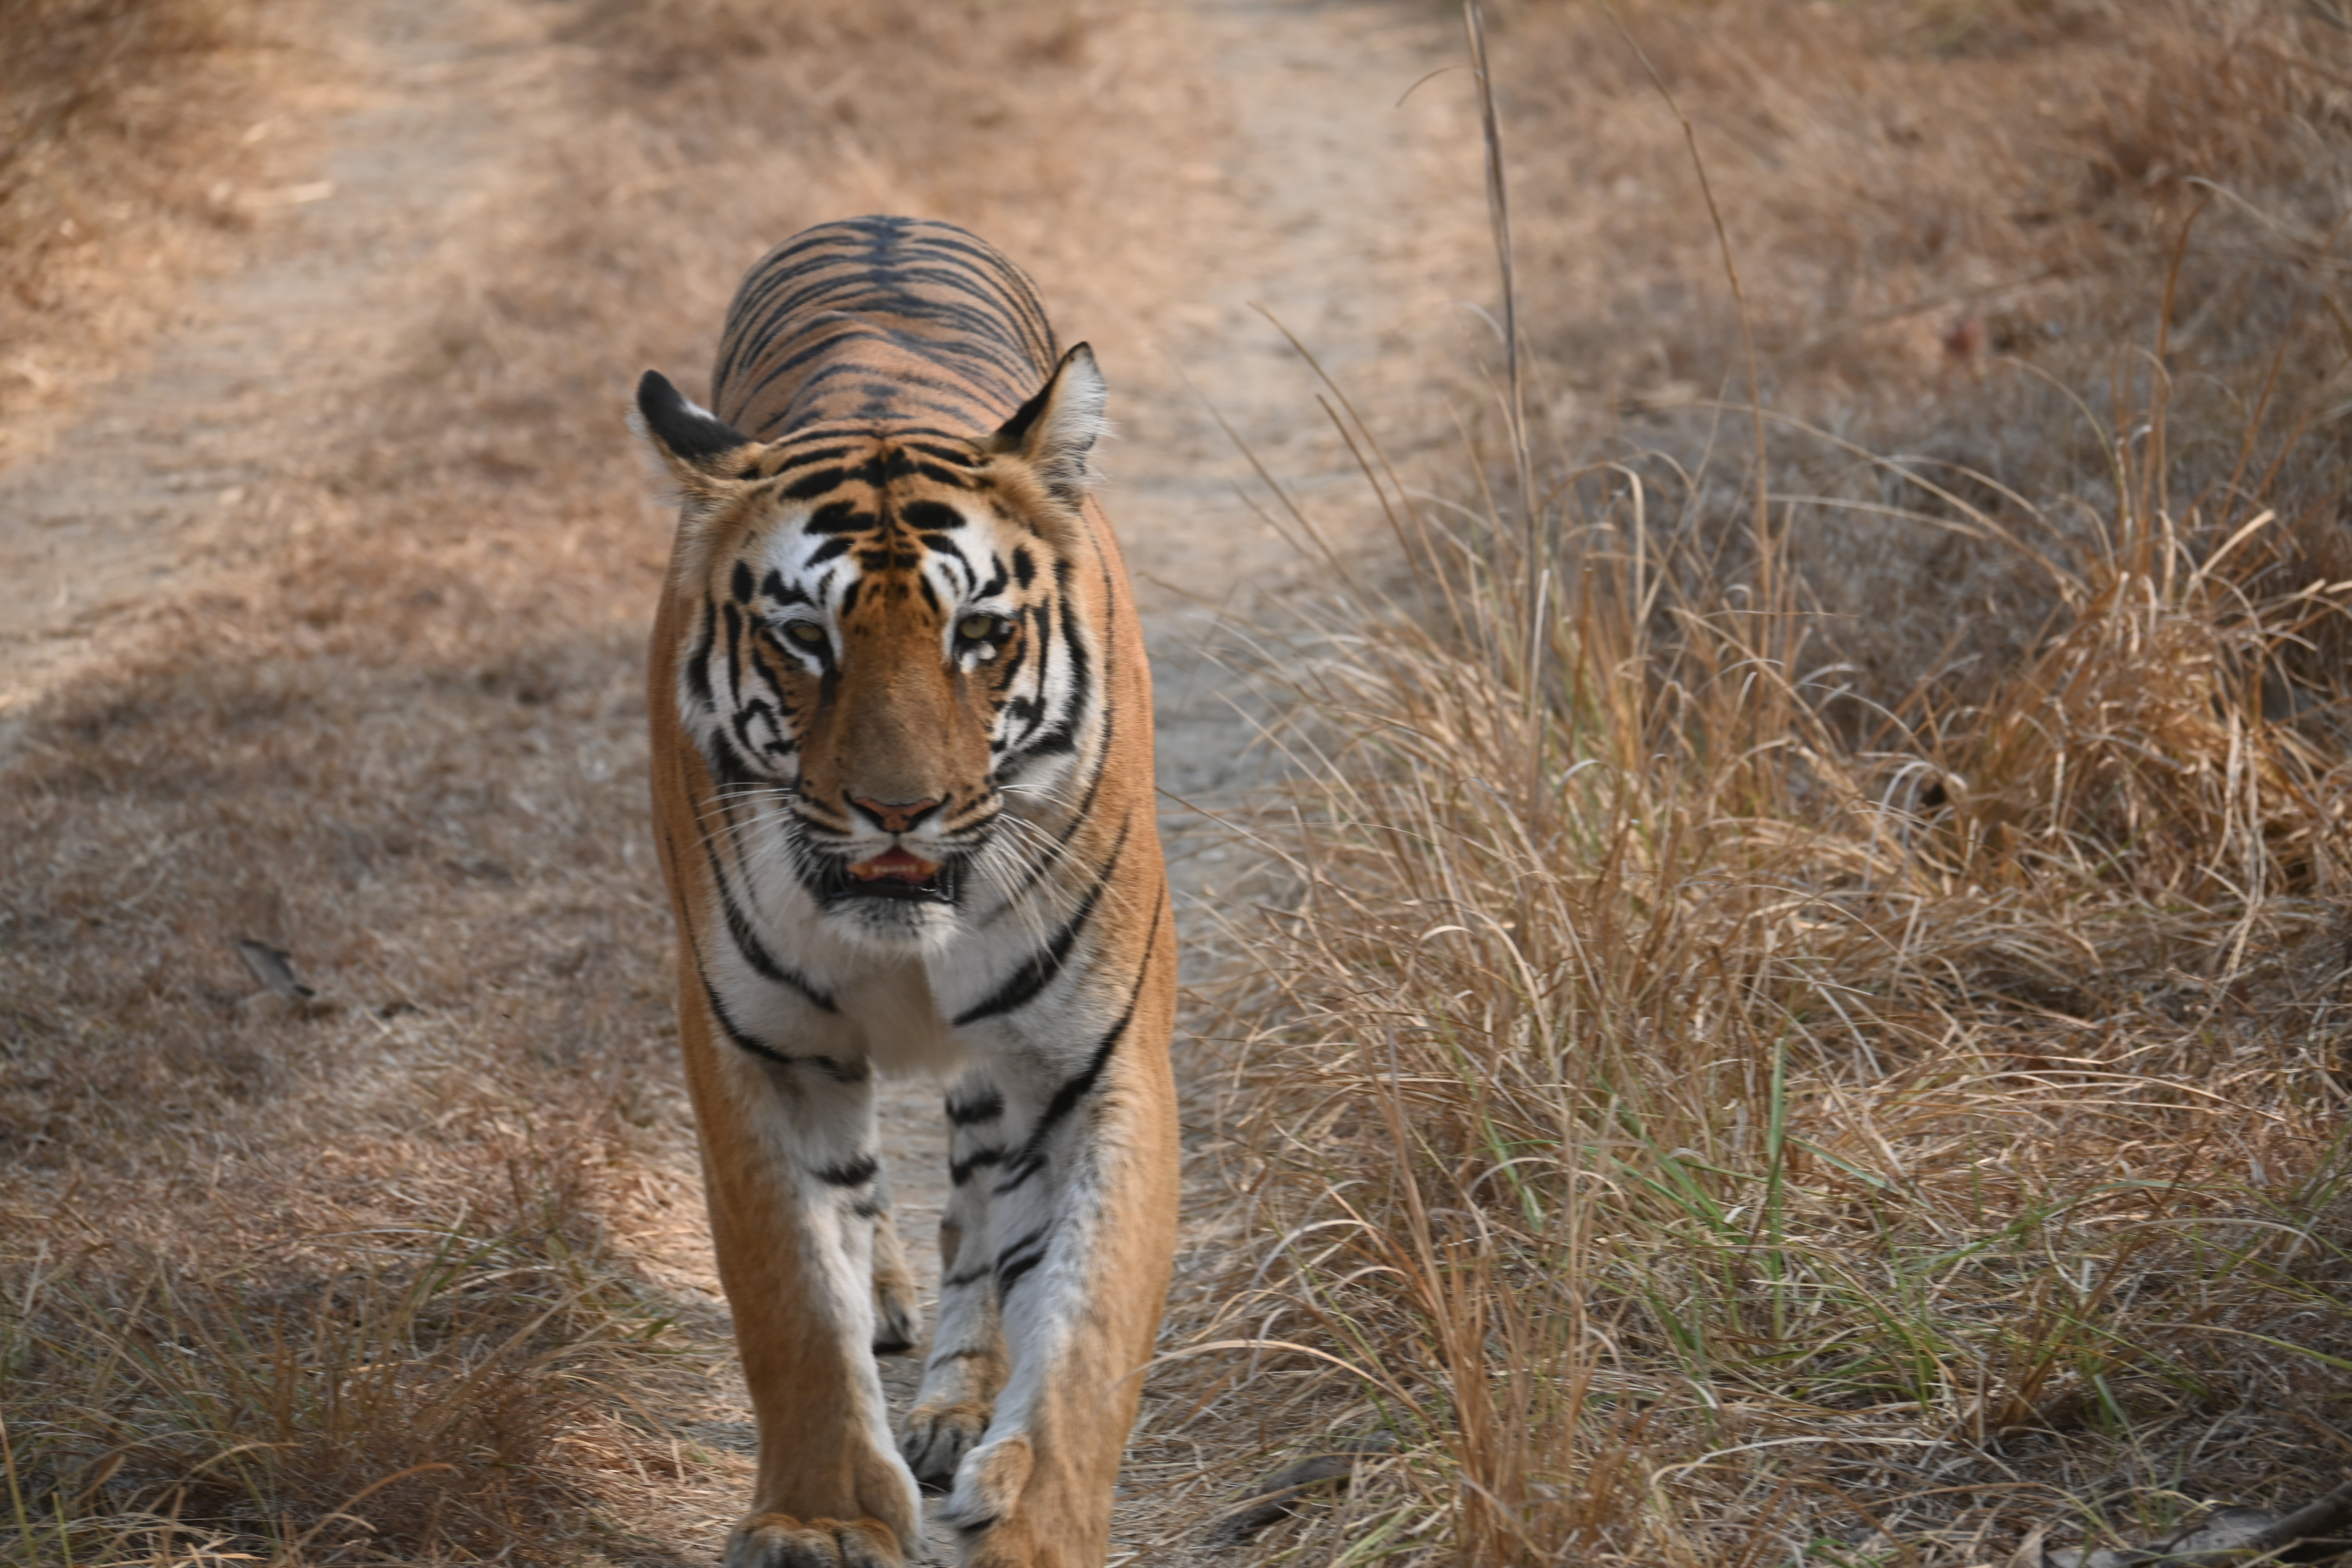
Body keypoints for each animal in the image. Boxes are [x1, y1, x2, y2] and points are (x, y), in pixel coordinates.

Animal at [633, 214, 1179, 1568]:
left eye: (977, 634)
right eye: (805, 638)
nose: (898, 810)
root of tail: (882, 218)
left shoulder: (1095, 1060)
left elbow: (1084, 1327)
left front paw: (1038, 1527)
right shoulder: (760, 1048)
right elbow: (790, 1294)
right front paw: (818, 1516)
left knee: (979, 1214)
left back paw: (959, 1410)